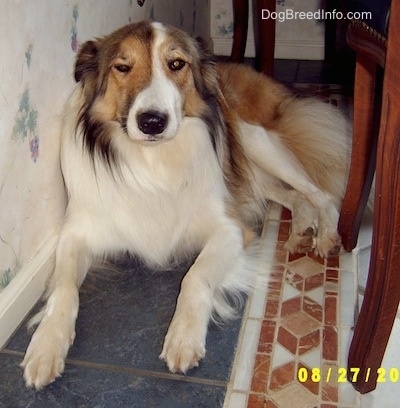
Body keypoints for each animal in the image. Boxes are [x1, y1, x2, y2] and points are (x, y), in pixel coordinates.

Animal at [21, 21, 350, 388]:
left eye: (176, 64)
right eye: (122, 67)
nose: (152, 122)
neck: (152, 163)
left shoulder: (230, 229)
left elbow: (195, 277)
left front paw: (183, 338)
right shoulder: (75, 236)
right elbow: (64, 288)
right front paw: (45, 345)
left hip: (256, 140)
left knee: (321, 192)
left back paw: (326, 235)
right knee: (292, 195)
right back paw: (300, 230)